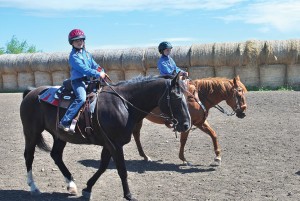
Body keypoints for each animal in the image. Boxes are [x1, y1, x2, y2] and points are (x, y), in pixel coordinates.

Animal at [19, 74, 191, 201]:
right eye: (177, 97)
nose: (186, 125)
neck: (124, 104)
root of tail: (31, 93)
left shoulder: (109, 144)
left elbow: (102, 166)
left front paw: (87, 188)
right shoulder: (115, 144)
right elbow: (122, 170)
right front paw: (128, 195)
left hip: (59, 136)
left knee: (56, 155)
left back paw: (71, 185)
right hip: (31, 132)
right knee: (29, 156)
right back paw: (34, 187)